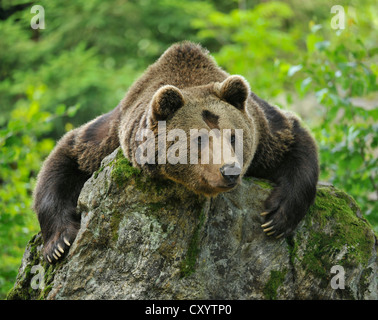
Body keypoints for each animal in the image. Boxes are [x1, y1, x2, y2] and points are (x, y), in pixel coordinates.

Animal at [33, 42, 318, 262]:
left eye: (234, 136)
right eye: (199, 139)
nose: (230, 171)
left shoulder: (264, 131)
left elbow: (295, 141)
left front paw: (276, 218)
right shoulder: (111, 134)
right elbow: (67, 159)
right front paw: (58, 244)